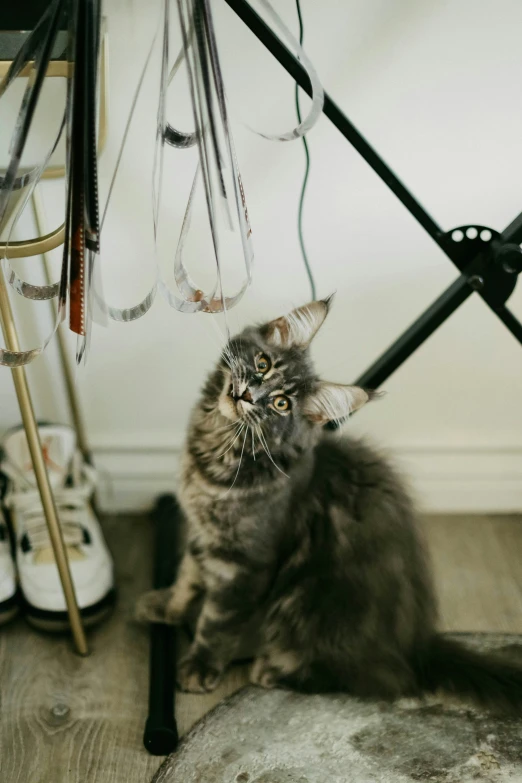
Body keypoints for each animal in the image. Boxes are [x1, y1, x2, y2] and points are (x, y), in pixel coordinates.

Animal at [136, 298, 520, 712]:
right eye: (262, 364)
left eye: (281, 404)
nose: (248, 395)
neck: (217, 449)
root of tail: (415, 645)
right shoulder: (201, 533)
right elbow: (187, 575)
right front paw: (167, 607)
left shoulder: (245, 562)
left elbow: (217, 621)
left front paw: (200, 665)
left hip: (309, 602)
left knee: (372, 680)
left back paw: (272, 669)